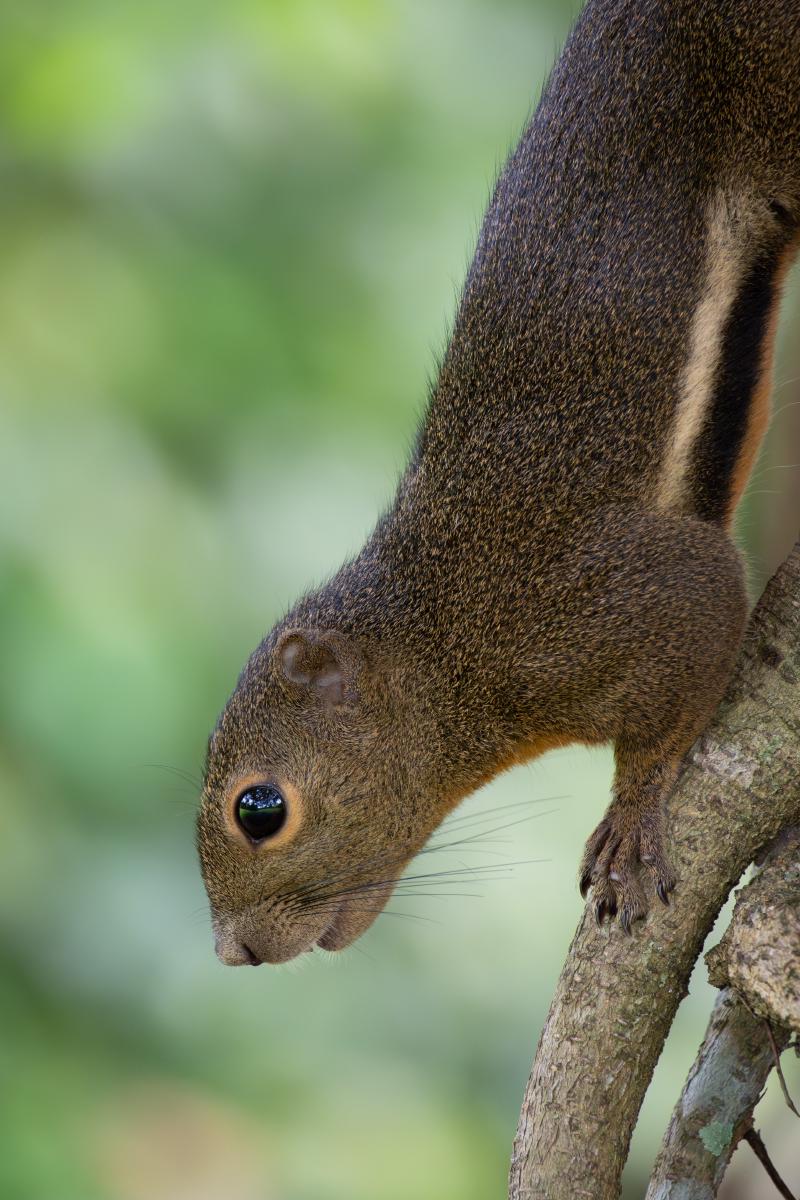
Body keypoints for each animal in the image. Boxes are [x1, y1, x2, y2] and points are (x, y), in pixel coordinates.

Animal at [198, 0, 800, 964]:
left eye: (259, 809)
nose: (234, 954)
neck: (446, 639)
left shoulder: (618, 599)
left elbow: (689, 656)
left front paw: (632, 818)